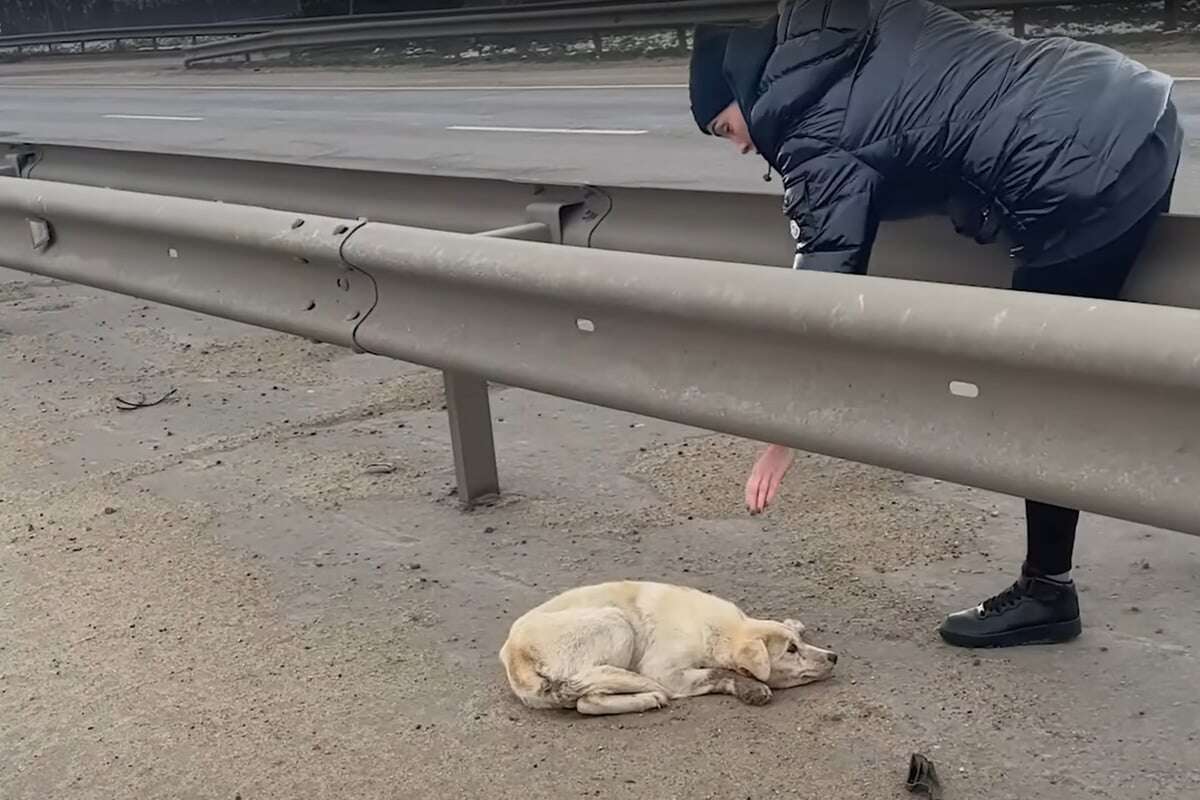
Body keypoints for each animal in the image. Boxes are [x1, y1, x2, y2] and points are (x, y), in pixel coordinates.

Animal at [496, 578, 835, 714]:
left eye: (800, 644)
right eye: (791, 651)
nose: (834, 657)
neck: (720, 629)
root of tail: (514, 655)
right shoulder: (666, 671)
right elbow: (717, 672)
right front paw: (750, 687)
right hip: (615, 622)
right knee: (588, 697)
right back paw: (645, 697)